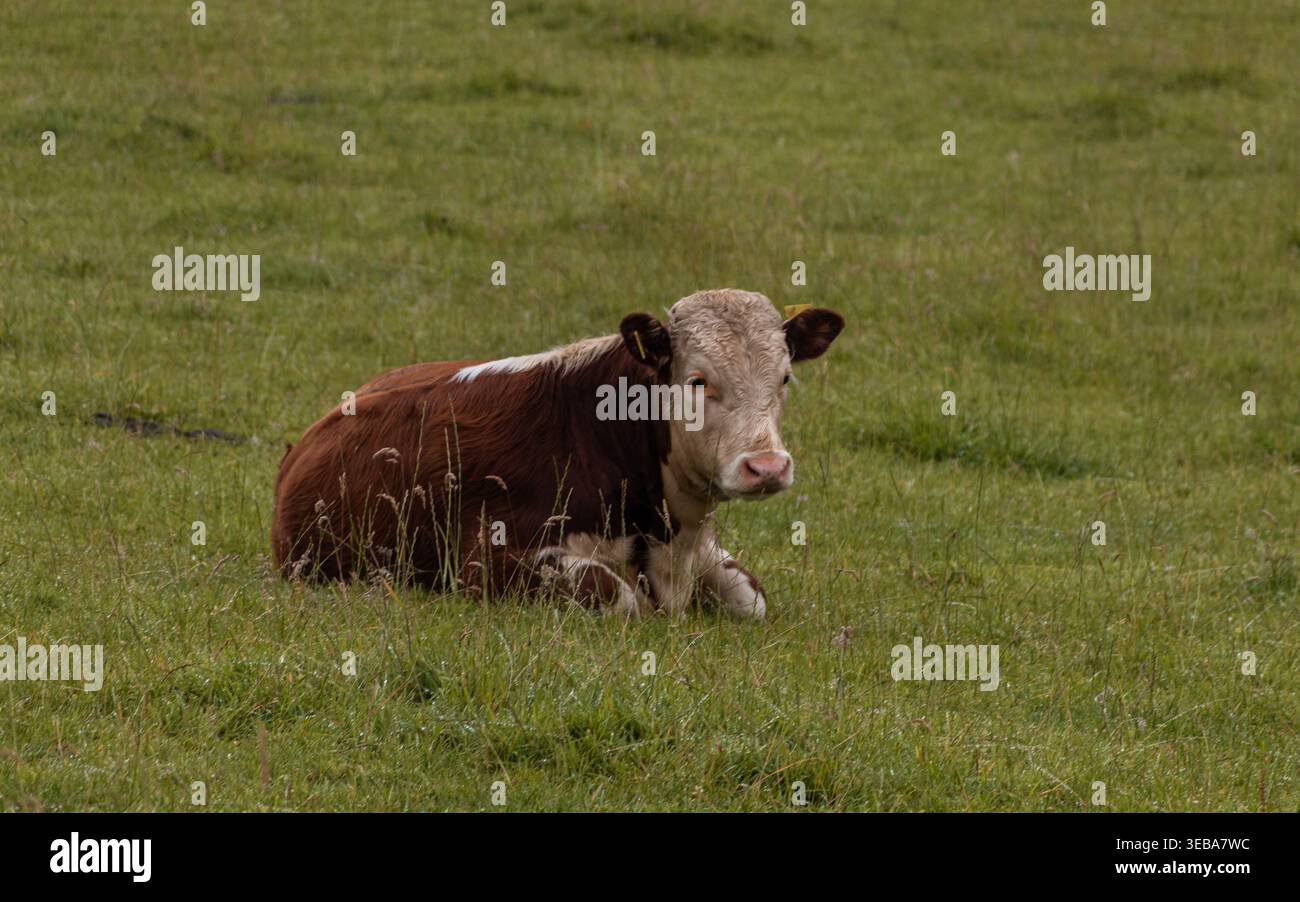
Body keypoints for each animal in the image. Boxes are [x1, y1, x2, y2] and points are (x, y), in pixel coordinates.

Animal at [271, 288, 844, 618]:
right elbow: (620, 596)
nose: (766, 467)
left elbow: (752, 599)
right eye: (698, 380)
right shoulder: (485, 558)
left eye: (784, 377)